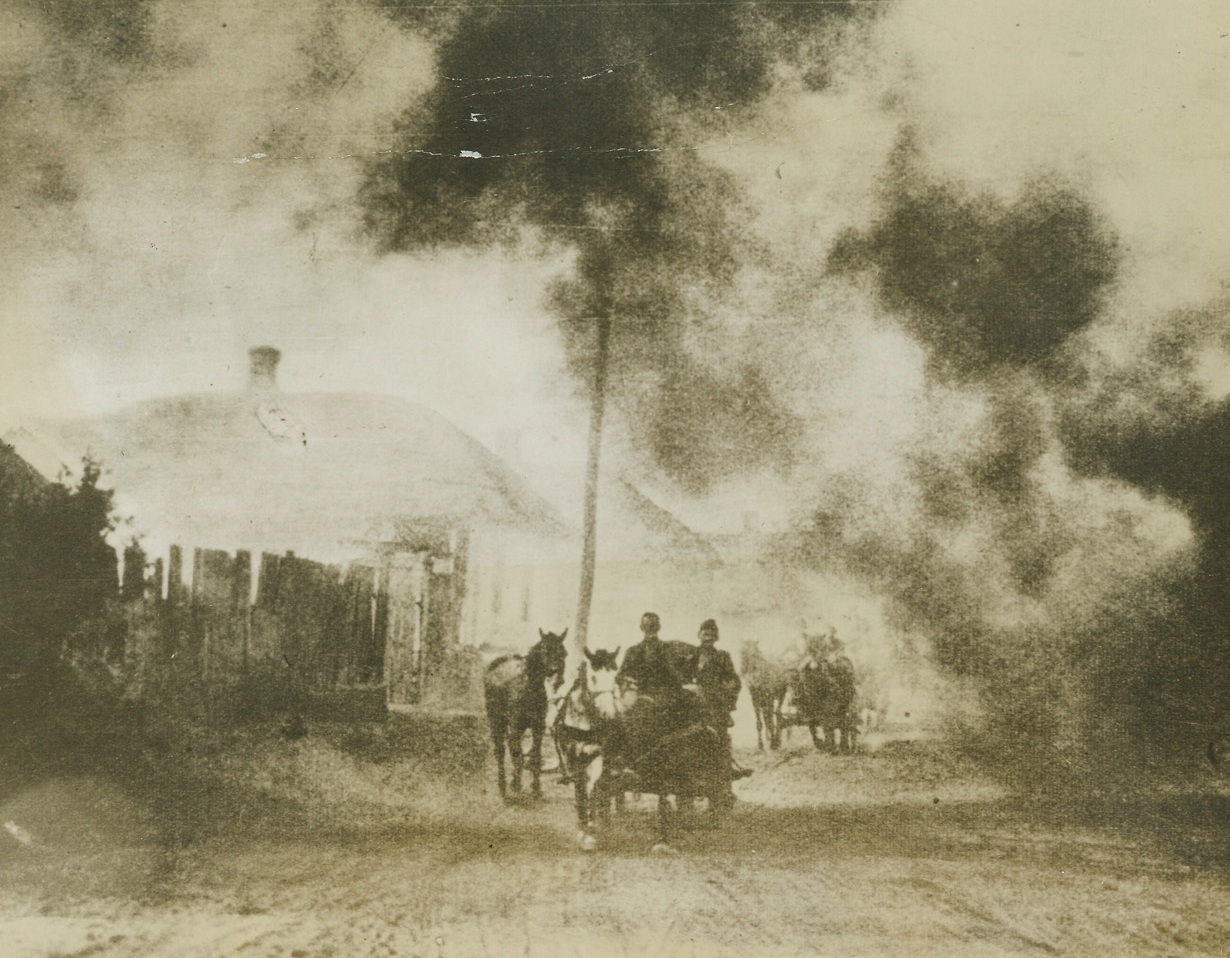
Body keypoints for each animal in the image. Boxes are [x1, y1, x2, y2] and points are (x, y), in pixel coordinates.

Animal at [484, 629, 570, 801]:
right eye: (544, 650)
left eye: (564, 653)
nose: (557, 679)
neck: (529, 689)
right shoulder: (515, 726)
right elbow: (517, 755)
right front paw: (517, 788)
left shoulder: (538, 727)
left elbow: (535, 756)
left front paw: (536, 790)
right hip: (497, 721)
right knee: (501, 751)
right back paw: (503, 785)